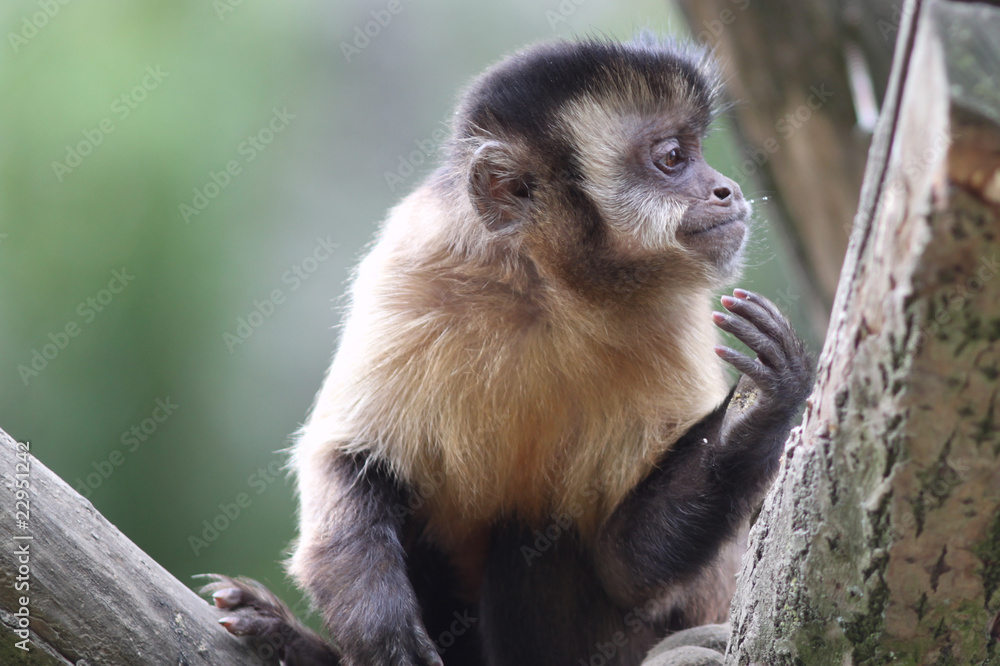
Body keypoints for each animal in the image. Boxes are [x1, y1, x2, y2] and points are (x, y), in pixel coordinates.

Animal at [203, 35, 813, 666]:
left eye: (694, 152)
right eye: (672, 157)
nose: (727, 189)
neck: (549, 290)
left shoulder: (678, 319)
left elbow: (623, 563)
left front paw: (762, 405)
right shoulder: (414, 263)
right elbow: (349, 458)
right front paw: (380, 630)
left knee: (537, 531)